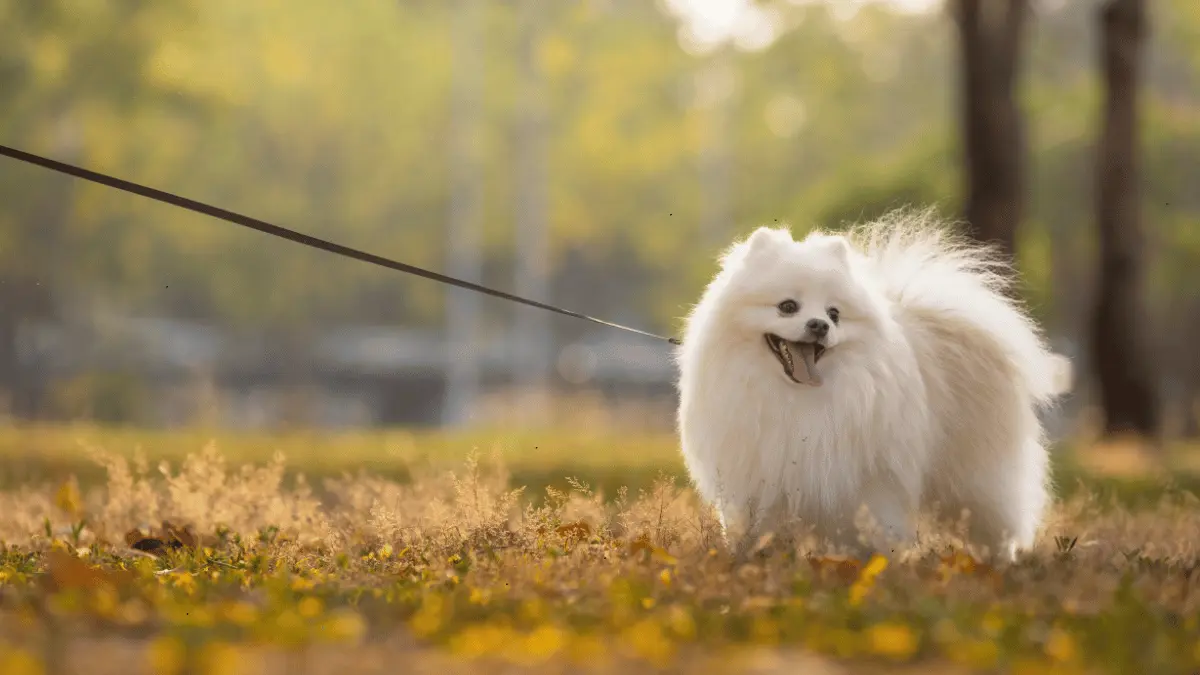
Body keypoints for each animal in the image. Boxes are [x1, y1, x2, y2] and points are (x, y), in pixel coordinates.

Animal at [672, 208, 1075, 557]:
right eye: (787, 307)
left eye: (834, 314)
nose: (819, 325)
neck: (798, 399)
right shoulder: (758, 477)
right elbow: (751, 529)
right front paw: (747, 557)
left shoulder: (868, 480)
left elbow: (871, 527)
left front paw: (872, 563)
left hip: (977, 477)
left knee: (997, 528)